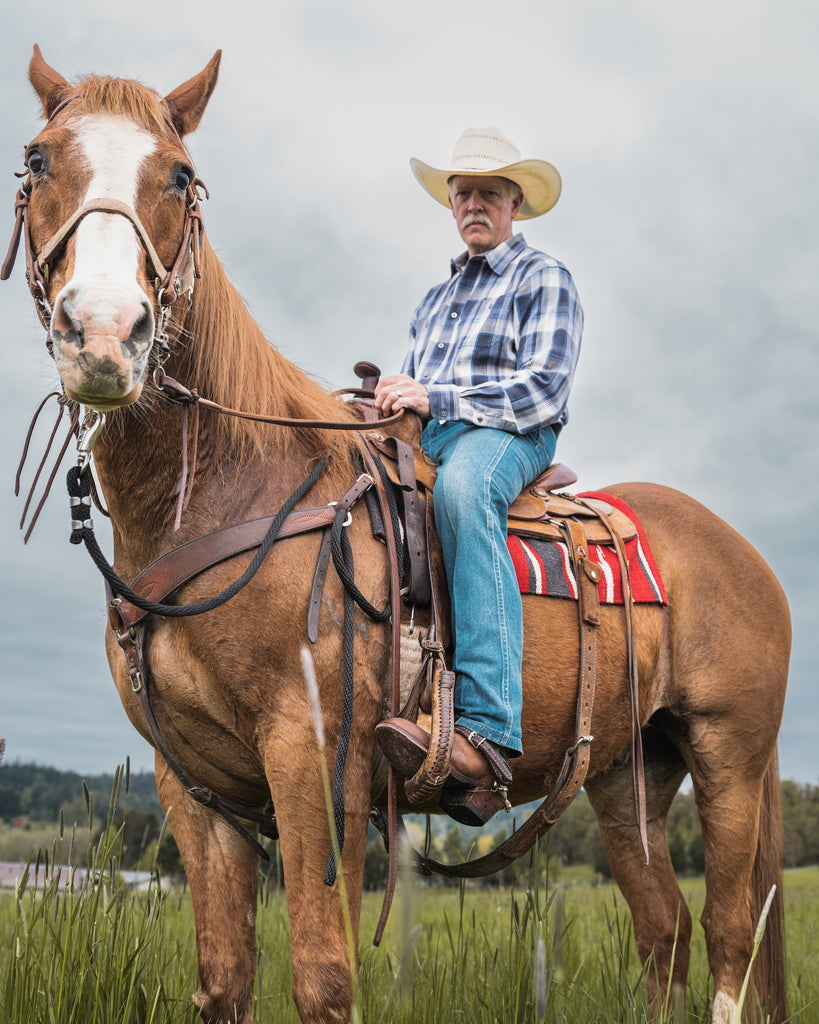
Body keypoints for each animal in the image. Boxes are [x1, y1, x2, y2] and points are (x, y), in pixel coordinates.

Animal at [3, 46, 790, 1024]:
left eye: (181, 175)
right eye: (37, 161)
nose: (105, 334)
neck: (231, 489)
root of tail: (744, 554)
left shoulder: (312, 757)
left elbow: (321, 975)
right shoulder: (194, 787)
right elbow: (223, 979)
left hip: (730, 755)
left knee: (728, 935)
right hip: (628, 772)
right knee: (663, 933)